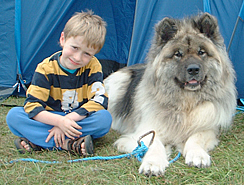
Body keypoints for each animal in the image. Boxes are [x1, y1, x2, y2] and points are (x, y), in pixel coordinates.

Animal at [103, 13, 236, 176]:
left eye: (201, 52)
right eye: (178, 54)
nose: (193, 69)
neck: (186, 103)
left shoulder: (208, 128)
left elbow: (196, 138)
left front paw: (197, 155)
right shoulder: (147, 130)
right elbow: (154, 144)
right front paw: (153, 163)